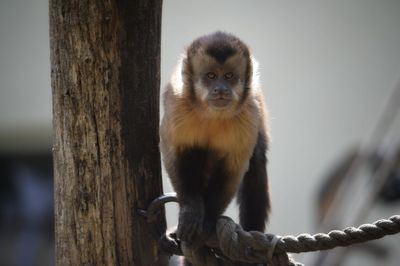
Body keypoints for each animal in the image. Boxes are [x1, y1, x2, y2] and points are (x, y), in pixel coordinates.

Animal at [160, 31, 272, 260]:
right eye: (211, 76)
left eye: (229, 76)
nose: (221, 89)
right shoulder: (177, 104)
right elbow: (174, 152)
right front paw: (191, 209)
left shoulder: (249, 114)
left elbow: (235, 168)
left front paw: (209, 218)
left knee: (256, 162)